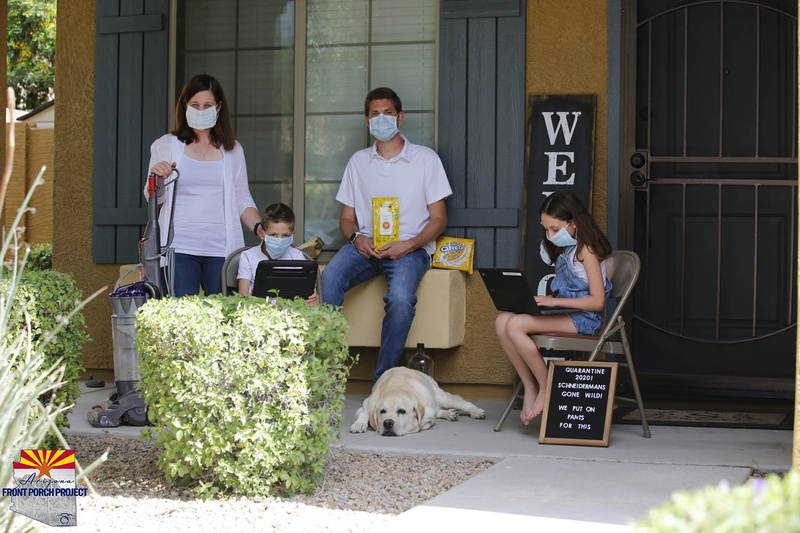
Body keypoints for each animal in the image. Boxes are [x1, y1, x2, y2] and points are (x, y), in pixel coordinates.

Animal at [348, 366, 484, 436]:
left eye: (402, 411)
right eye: (382, 411)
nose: (388, 423)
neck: (397, 387)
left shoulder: (427, 412)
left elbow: (423, 422)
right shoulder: (367, 404)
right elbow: (364, 413)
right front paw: (359, 424)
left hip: (442, 397)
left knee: (463, 403)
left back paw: (476, 411)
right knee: (439, 410)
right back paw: (449, 414)